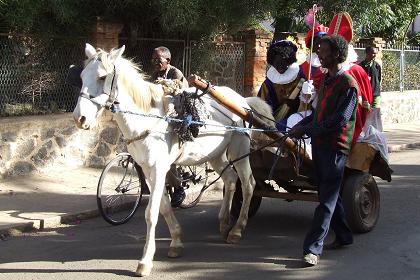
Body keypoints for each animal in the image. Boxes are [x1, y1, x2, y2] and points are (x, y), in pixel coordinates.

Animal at [73, 43, 274, 276]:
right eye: (81, 76)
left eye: (102, 77)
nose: (79, 118)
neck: (146, 120)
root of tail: (242, 101)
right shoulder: (149, 171)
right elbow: (164, 207)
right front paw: (176, 241)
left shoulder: (159, 168)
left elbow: (151, 213)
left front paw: (145, 261)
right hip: (215, 155)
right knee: (231, 180)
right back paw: (224, 224)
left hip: (238, 149)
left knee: (248, 184)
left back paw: (237, 229)